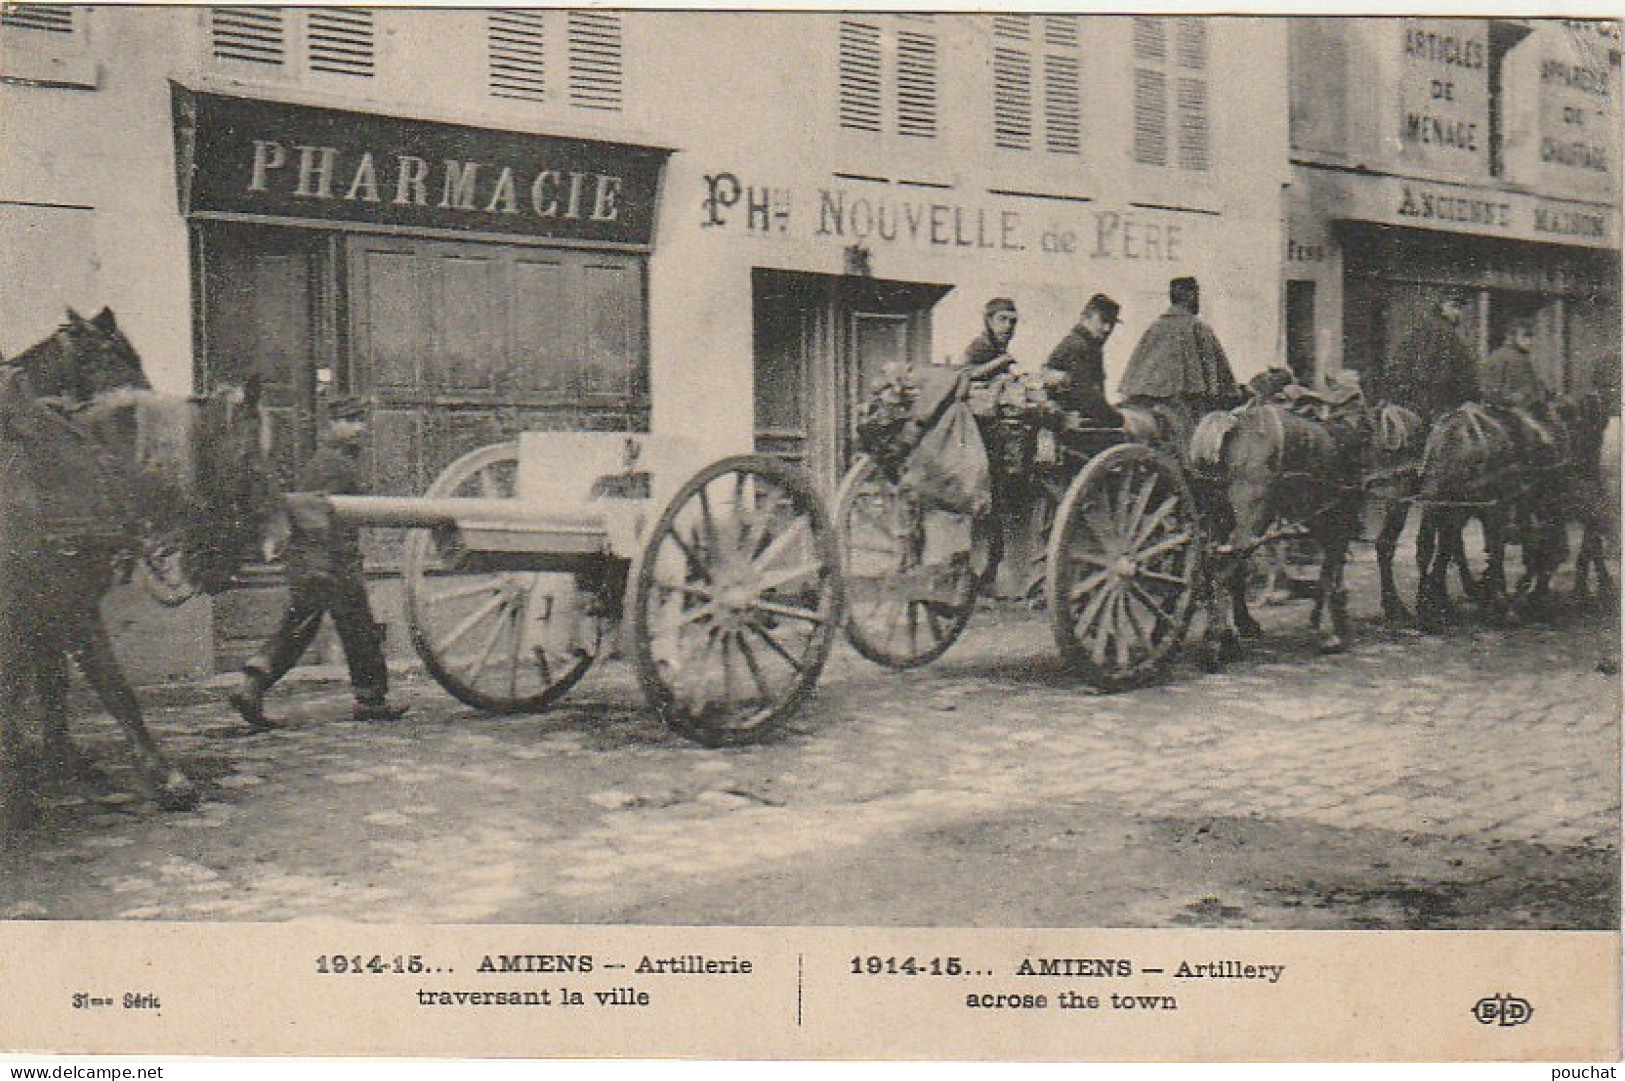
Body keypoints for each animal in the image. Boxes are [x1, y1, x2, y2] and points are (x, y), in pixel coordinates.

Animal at [0, 316, 274, 829]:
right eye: (251, 465)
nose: (235, 562)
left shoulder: (46, 608)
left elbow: (58, 681)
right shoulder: (62, 600)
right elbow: (106, 681)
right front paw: (163, 777)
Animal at [1189, 383, 1430, 663]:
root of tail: (1232, 425)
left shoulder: (1331, 522)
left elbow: (1332, 570)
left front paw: (1333, 623)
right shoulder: (1346, 519)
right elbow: (1338, 569)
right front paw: (1332, 633)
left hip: (1220, 520)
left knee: (1216, 567)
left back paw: (1230, 632)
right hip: (1252, 522)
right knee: (1224, 568)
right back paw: (1220, 644)